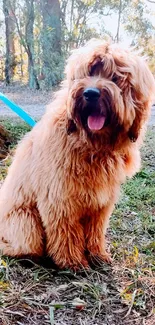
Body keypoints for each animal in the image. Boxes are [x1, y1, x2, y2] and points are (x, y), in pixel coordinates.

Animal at [0, 39, 155, 268]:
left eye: (115, 77)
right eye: (87, 73)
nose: (90, 93)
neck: (92, 145)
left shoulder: (101, 203)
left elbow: (95, 230)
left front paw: (97, 254)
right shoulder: (60, 199)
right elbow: (67, 232)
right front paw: (73, 261)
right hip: (25, 221)